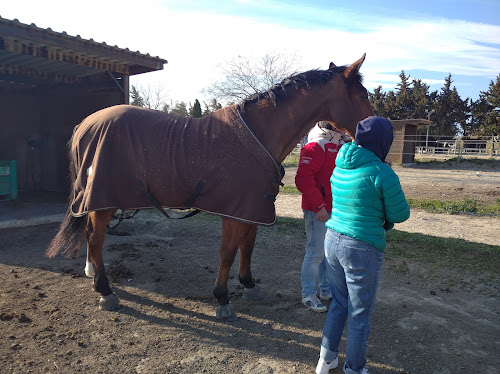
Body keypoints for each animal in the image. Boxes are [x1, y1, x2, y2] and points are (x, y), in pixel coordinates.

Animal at [47, 53, 374, 322]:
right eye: (362, 94)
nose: (375, 129)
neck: (258, 134)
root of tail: (86, 124)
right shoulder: (234, 211)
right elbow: (228, 252)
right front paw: (222, 299)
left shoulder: (252, 208)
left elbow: (247, 246)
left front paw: (249, 285)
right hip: (103, 198)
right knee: (95, 237)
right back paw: (105, 291)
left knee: (91, 236)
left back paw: (92, 274)